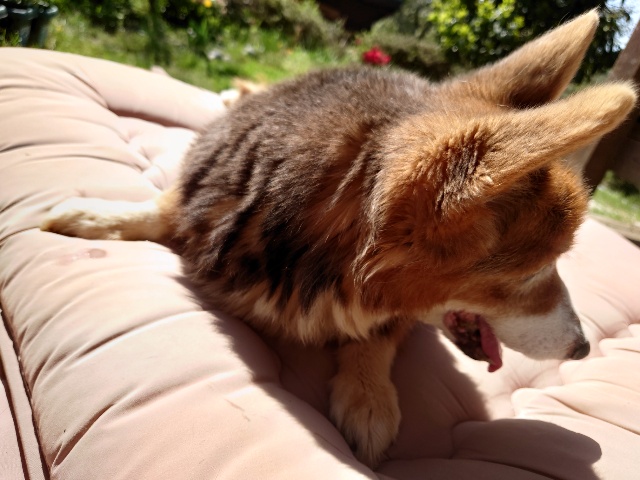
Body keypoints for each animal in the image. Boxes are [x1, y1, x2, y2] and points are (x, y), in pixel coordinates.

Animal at [41, 10, 636, 467]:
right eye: (531, 273)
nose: (583, 349)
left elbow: (376, 336)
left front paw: (369, 396)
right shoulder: (200, 200)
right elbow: (158, 209)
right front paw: (91, 216)